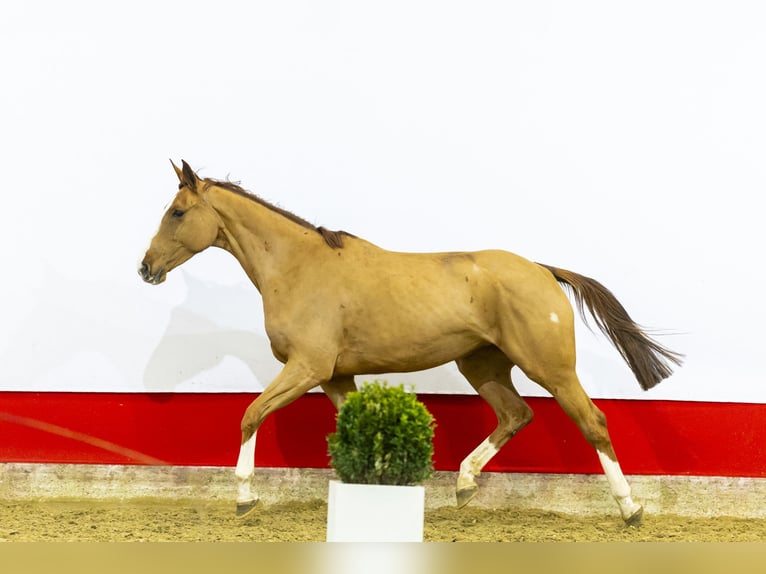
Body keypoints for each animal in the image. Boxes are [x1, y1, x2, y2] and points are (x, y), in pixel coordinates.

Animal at [140, 161, 684, 528]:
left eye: (178, 211)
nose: (146, 268)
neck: (297, 268)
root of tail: (542, 270)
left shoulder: (307, 368)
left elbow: (250, 414)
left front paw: (244, 497)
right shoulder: (337, 376)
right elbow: (357, 429)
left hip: (550, 367)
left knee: (592, 422)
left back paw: (631, 508)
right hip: (482, 366)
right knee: (516, 414)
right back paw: (464, 484)